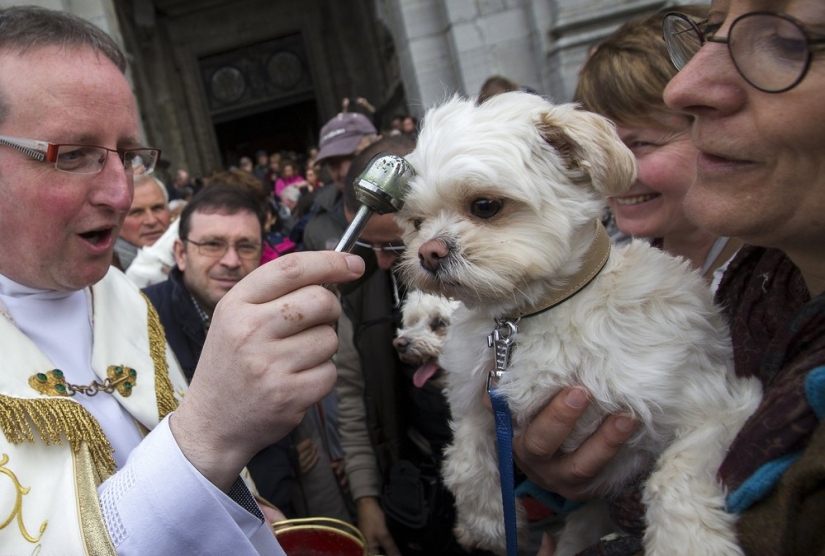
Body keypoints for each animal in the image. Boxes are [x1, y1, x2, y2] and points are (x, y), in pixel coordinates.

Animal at [396, 92, 764, 556]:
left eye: (484, 206)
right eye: (416, 222)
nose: (427, 252)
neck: (535, 313)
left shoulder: (718, 406)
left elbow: (676, 472)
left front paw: (687, 542)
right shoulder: (481, 401)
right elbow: (467, 458)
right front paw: (487, 525)